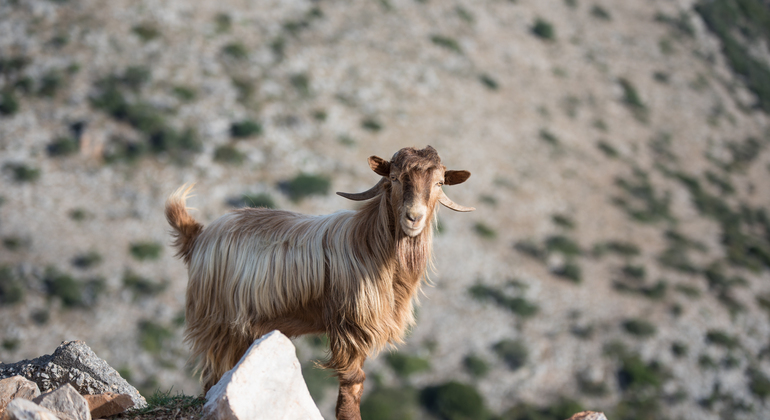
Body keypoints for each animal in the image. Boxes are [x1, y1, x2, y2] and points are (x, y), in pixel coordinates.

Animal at [165, 145, 472, 420]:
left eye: (439, 183)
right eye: (394, 178)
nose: (413, 218)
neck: (370, 244)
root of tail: (199, 235)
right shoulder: (349, 325)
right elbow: (353, 380)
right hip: (218, 324)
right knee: (212, 375)